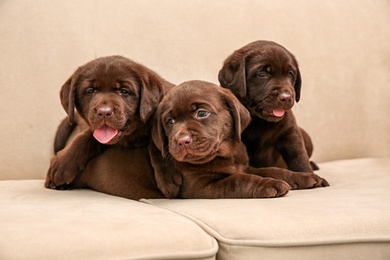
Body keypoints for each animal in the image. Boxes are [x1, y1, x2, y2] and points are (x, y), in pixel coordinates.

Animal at [151, 79, 328, 199]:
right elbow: (239, 181)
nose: (182, 141)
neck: (225, 155)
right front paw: (269, 184)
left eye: (201, 113)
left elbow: (273, 170)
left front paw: (303, 177)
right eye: (170, 121)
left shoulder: (245, 166)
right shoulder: (200, 187)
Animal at [218, 40, 328, 183]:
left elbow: (298, 156)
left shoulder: (290, 131)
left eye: (290, 74)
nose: (286, 97)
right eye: (262, 74)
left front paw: (310, 174)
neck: (261, 122)